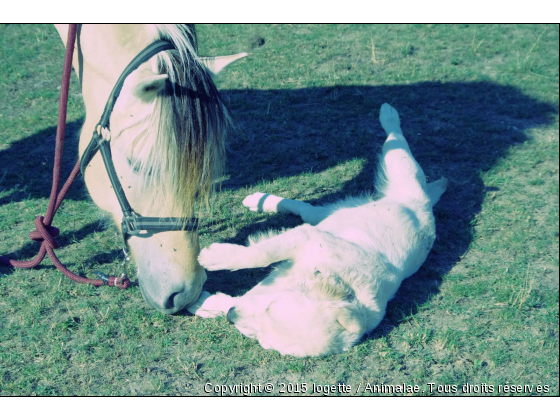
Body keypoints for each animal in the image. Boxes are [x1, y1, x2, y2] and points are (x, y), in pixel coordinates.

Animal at [188, 103, 446, 356]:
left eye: (261, 339)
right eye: (270, 307)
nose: (232, 316)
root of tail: (425, 203)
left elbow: (246, 288)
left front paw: (204, 303)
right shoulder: (307, 236)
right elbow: (260, 254)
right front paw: (214, 258)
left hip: (332, 212)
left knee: (306, 209)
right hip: (403, 173)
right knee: (396, 140)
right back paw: (388, 112)